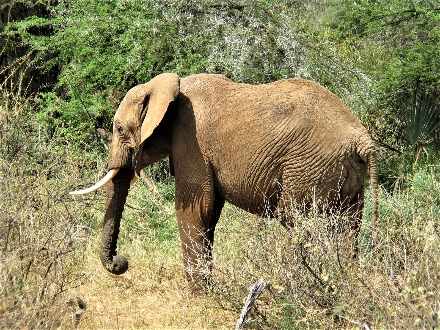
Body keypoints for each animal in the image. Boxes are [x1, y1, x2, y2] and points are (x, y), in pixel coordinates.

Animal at [69, 73, 378, 284]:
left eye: (120, 129)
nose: (121, 262)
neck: (168, 86)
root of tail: (361, 138)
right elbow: (210, 213)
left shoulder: (191, 140)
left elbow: (195, 209)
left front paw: (198, 295)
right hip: (347, 175)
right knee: (347, 229)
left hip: (308, 166)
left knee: (297, 222)